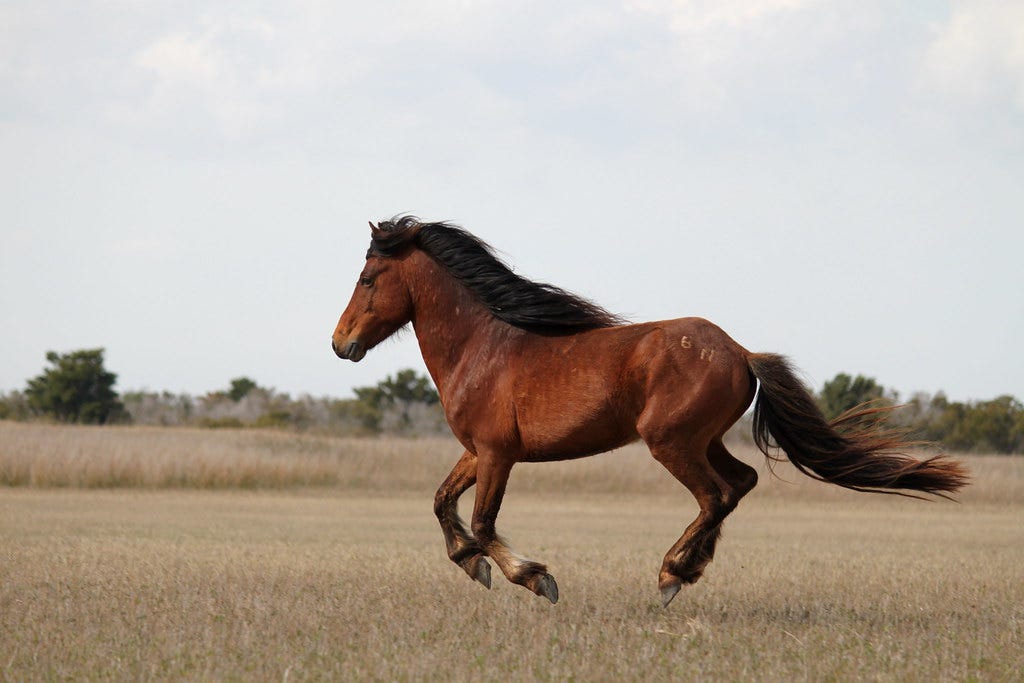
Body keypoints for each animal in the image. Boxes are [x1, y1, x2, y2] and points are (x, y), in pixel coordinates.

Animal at [331, 216, 968, 607]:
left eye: (366, 278)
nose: (340, 343)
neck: (483, 348)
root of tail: (741, 352)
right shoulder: (475, 452)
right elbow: (442, 502)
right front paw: (471, 565)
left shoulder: (497, 454)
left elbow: (484, 522)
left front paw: (534, 578)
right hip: (702, 439)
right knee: (740, 483)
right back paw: (689, 567)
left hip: (671, 442)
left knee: (715, 495)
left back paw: (670, 574)